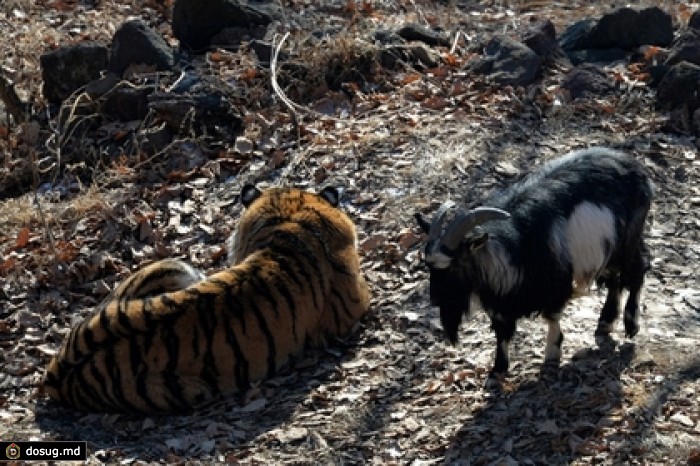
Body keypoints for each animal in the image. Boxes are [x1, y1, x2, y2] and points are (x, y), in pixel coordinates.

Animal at [416, 147, 652, 376]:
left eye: (453, 267)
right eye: (429, 267)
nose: (435, 299)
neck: (514, 243)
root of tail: (635, 167)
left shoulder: (555, 283)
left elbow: (551, 317)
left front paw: (551, 356)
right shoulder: (500, 299)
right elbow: (502, 331)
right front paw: (498, 368)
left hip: (628, 240)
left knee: (637, 273)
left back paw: (631, 324)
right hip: (608, 249)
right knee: (615, 279)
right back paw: (605, 322)